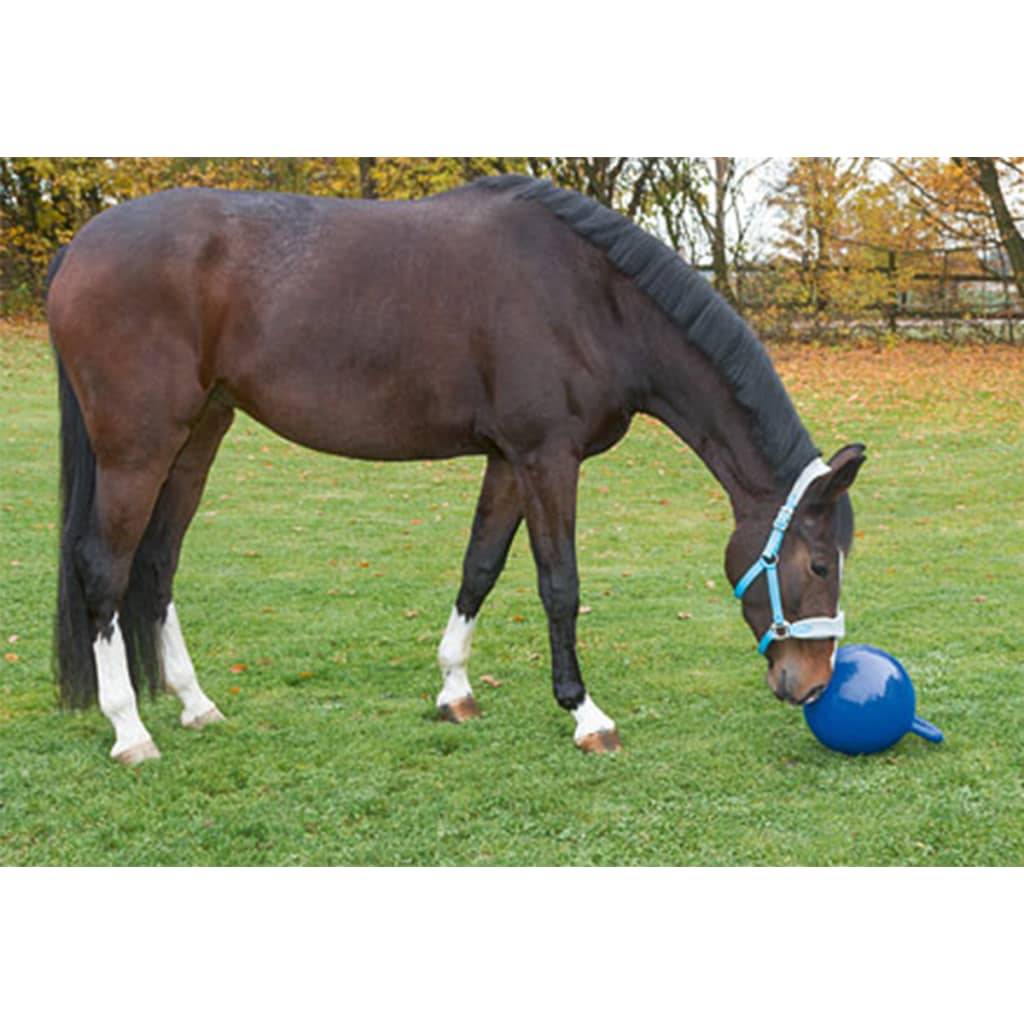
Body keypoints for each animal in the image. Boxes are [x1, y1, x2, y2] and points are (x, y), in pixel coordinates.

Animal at [46, 174, 865, 765]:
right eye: (819, 564)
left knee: (157, 564)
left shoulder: (508, 460)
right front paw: (585, 714)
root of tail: (81, 246)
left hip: (198, 436)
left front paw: (454, 691)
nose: (812, 684)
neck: (592, 300)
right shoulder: (546, 457)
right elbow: (559, 585)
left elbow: (481, 567)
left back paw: (195, 704)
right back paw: (130, 731)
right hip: (137, 447)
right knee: (104, 569)